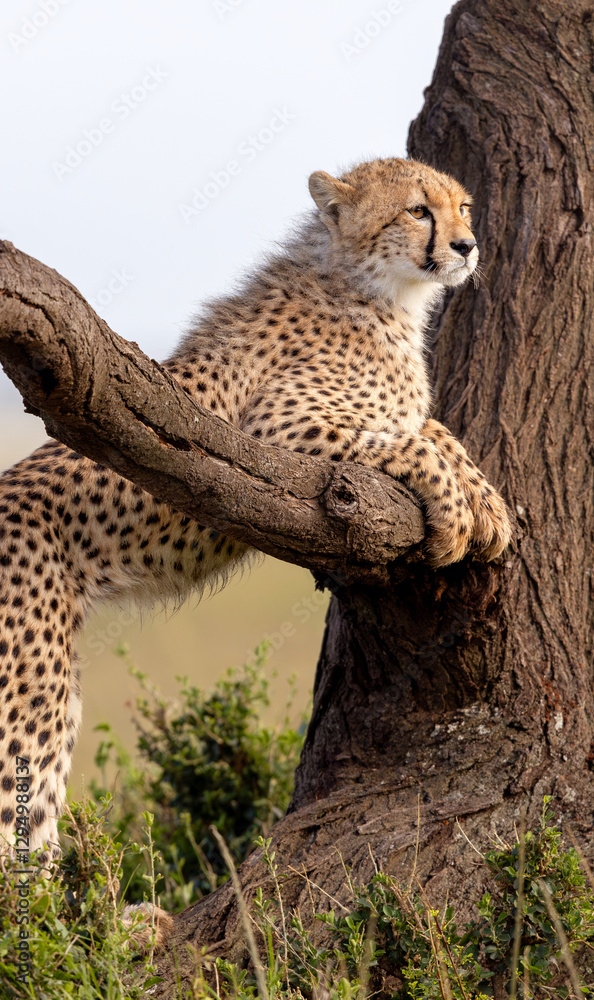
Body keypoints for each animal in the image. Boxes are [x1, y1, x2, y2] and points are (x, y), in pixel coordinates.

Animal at [0, 156, 512, 862]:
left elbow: (436, 431)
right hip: (31, 689)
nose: (467, 246)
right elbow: (410, 440)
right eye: (417, 211)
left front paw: (489, 506)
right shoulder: (274, 434)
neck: (379, 289)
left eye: (462, 207)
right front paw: (460, 513)